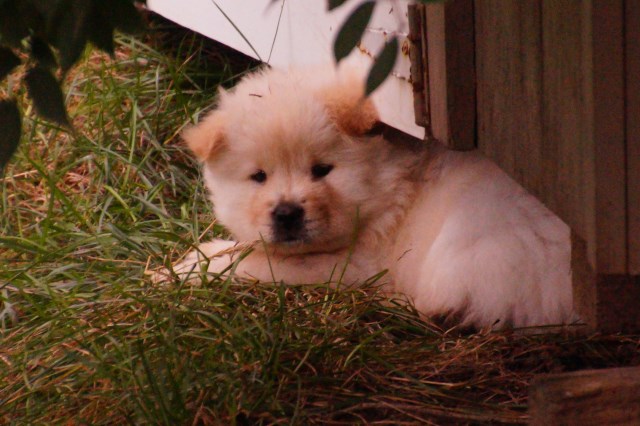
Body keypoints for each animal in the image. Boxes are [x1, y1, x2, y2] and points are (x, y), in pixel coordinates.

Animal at [166, 64, 576, 330]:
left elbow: (255, 265)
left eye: (321, 170)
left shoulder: (353, 264)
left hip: (473, 236)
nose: (286, 213)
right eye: (259, 177)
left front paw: (184, 272)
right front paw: (195, 257)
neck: (393, 185)